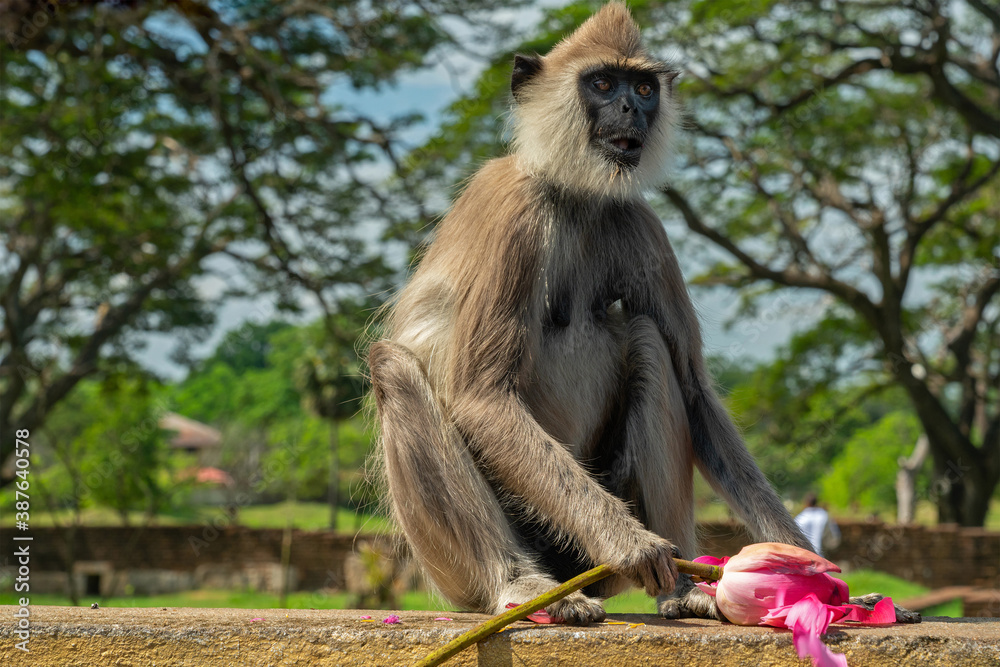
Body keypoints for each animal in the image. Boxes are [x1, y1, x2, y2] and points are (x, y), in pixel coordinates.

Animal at [368, 2, 918, 625]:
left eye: (644, 87)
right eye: (604, 84)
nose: (632, 107)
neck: (576, 194)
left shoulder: (638, 221)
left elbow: (696, 391)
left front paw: (811, 569)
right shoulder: (515, 211)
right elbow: (479, 395)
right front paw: (632, 544)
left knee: (647, 338)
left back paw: (683, 587)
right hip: (461, 565)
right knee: (394, 367)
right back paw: (523, 583)